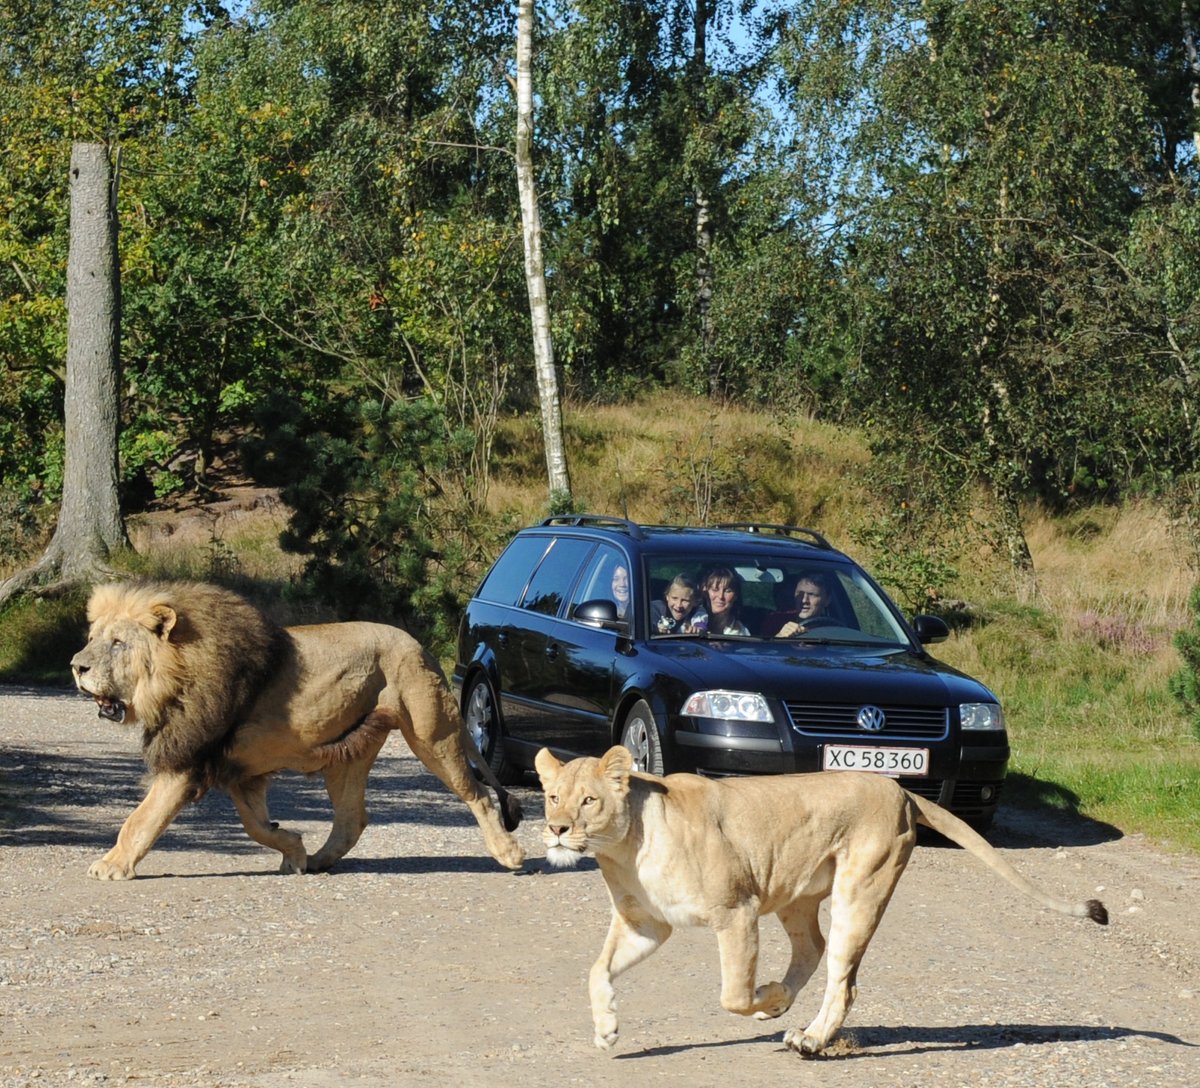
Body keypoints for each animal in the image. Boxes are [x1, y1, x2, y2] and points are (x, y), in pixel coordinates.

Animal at [72, 582, 523, 882]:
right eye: (92, 638)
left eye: (117, 643)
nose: (76, 666)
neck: (172, 676)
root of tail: (421, 647)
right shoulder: (240, 772)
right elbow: (255, 826)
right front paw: (294, 848)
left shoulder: (186, 761)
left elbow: (142, 818)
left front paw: (111, 865)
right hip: (347, 756)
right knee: (352, 819)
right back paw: (321, 861)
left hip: (433, 735)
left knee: (479, 794)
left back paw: (508, 853)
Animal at [535, 743, 1104, 1060]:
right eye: (552, 796)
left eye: (588, 800)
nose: (556, 830)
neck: (626, 847)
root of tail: (901, 790)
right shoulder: (645, 924)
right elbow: (597, 971)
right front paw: (607, 1030)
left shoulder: (737, 912)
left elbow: (733, 995)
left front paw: (764, 998)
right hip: (796, 893)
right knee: (813, 948)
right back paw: (789, 1011)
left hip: (861, 888)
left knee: (842, 980)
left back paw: (807, 1038)